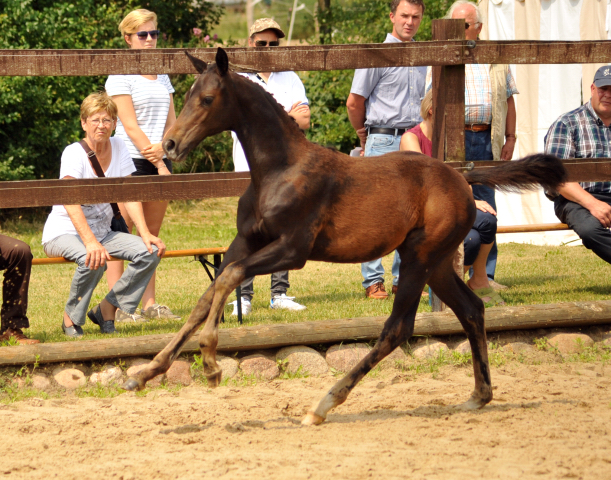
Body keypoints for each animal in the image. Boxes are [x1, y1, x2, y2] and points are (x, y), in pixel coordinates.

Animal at [124, 47, 568, 424]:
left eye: (207, 99)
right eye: (187, 96)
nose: (170, 144)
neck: (279, 170)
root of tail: (462, 178)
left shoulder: (292, 249)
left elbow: (229, 279)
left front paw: (211, 362)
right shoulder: (245, 243)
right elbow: (210, 293)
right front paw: (145, 372)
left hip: (419, 257)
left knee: (398, 328)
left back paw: (324, 403)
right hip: (437, 261)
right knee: (472, 309)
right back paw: (479, 395)